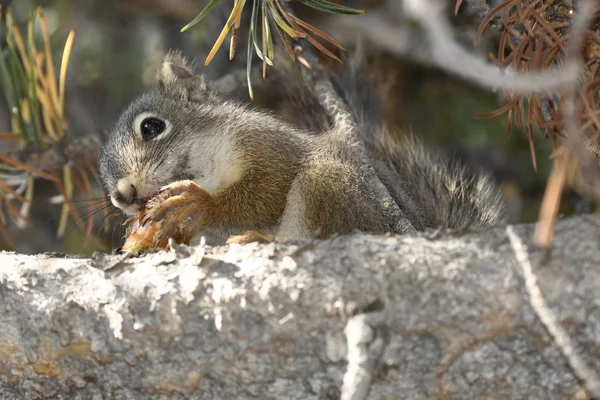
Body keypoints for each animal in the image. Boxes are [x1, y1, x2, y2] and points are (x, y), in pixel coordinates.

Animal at [98, 48, 506, 245]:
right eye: (107, 187)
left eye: (151, 127)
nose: (123, 196)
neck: (208, 171)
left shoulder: (271, 148)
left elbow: (265, 190)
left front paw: (201, 205)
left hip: (330, 187)